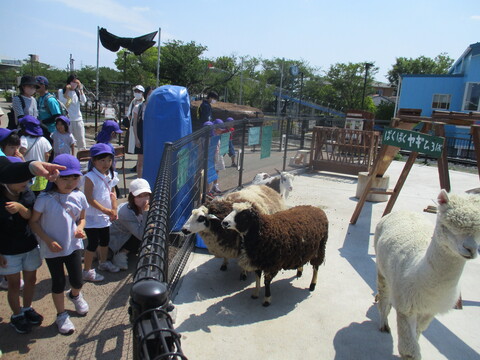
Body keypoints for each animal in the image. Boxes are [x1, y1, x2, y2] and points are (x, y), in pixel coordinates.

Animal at [376, 190, 480, 358]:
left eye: (479, 231)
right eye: (446, 226)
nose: (470, 249)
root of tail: (402, 211)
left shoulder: (429, 311)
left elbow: (418, 332)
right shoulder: (406, 308)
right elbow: (409, 350)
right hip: (381, 268)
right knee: (384, 295)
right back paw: (383, 324)